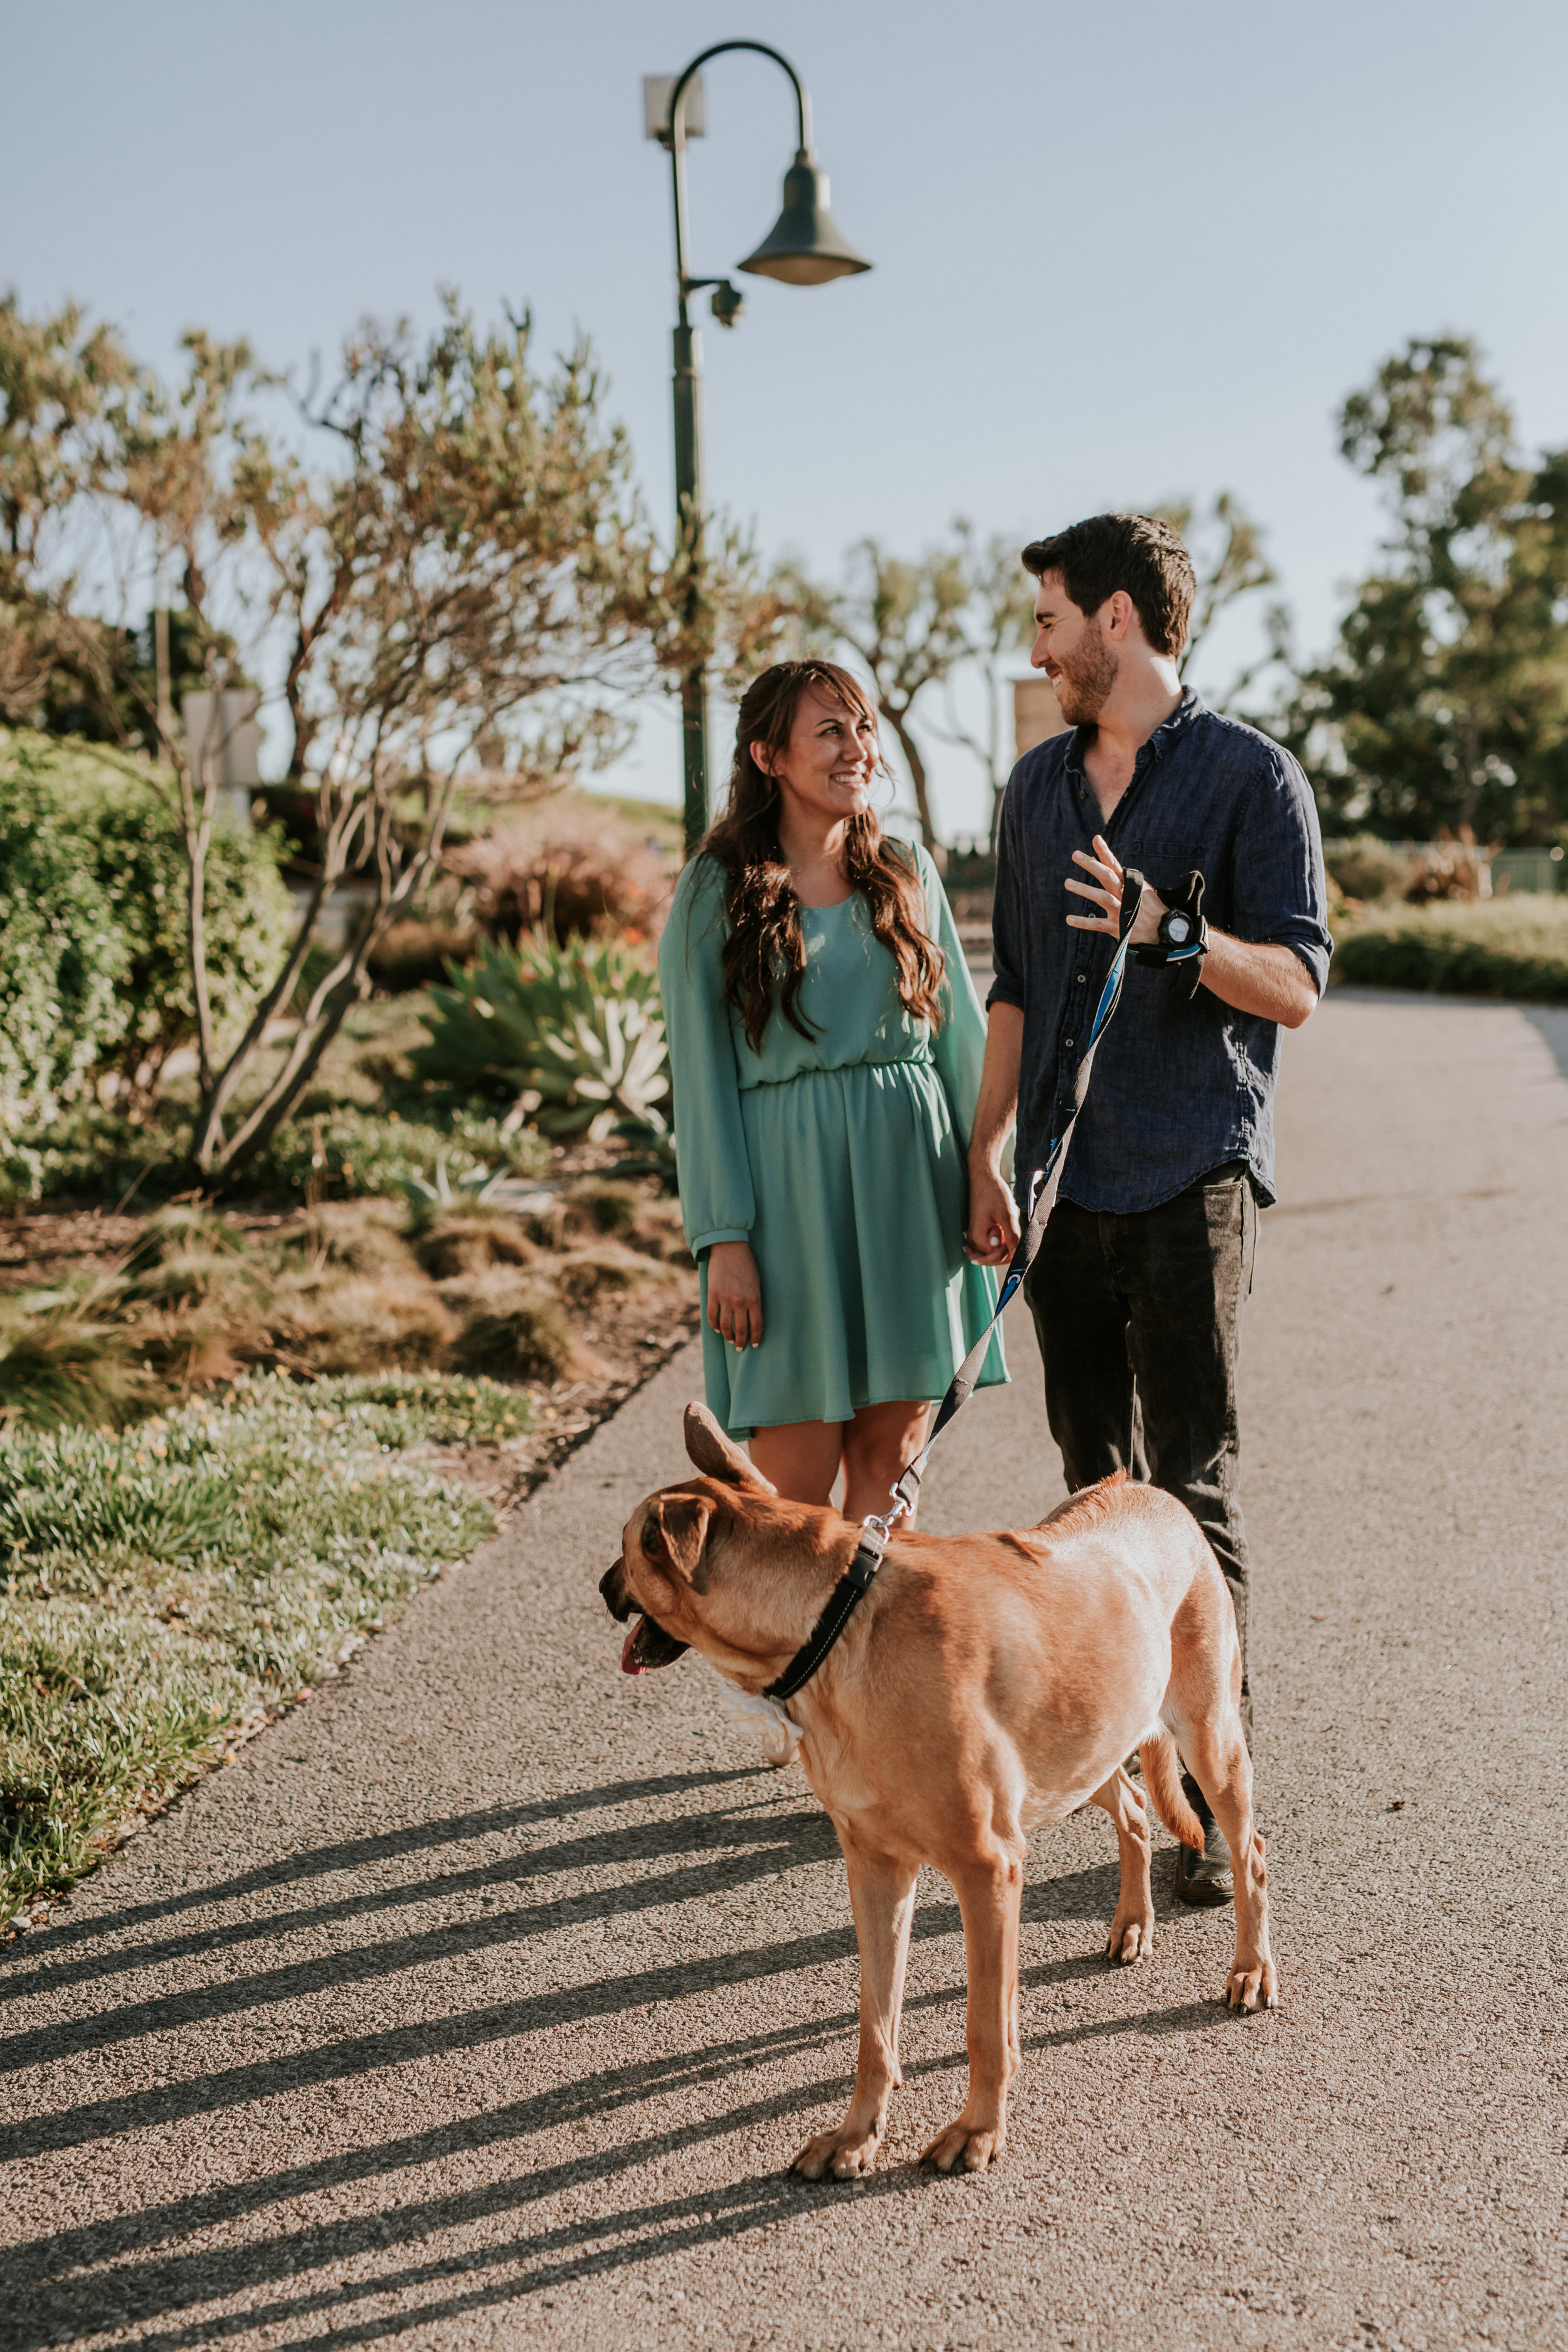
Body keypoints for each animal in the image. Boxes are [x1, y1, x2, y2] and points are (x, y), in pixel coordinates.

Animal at [601, 1392, 1278, 2183]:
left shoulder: (988, 1869)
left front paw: (978, 2130)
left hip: (1207, 1739)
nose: (602, 1587)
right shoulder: (876, 1868)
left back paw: (1251, 1971)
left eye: (626, 1549)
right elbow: (875, 2026)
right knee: (1136, 1811)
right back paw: (1133, 1923)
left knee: (1250, 1852)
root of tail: (1141, 1487)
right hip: (1082, 1756)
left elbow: (984, 2026)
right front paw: (856, 2135)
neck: (836, 1627)